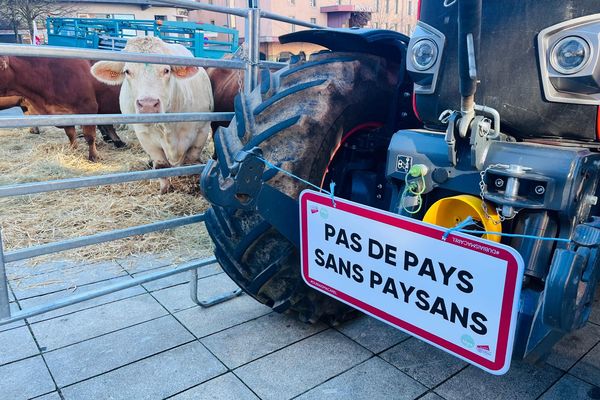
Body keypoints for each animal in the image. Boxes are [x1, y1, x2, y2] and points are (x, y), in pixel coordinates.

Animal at [88, 36, 212, 193]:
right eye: (127, 71)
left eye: (166, 70)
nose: (148, 105)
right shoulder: (146, 137)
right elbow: (161, 166)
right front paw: (164, 190)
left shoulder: (202, 130)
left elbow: (192, 160)